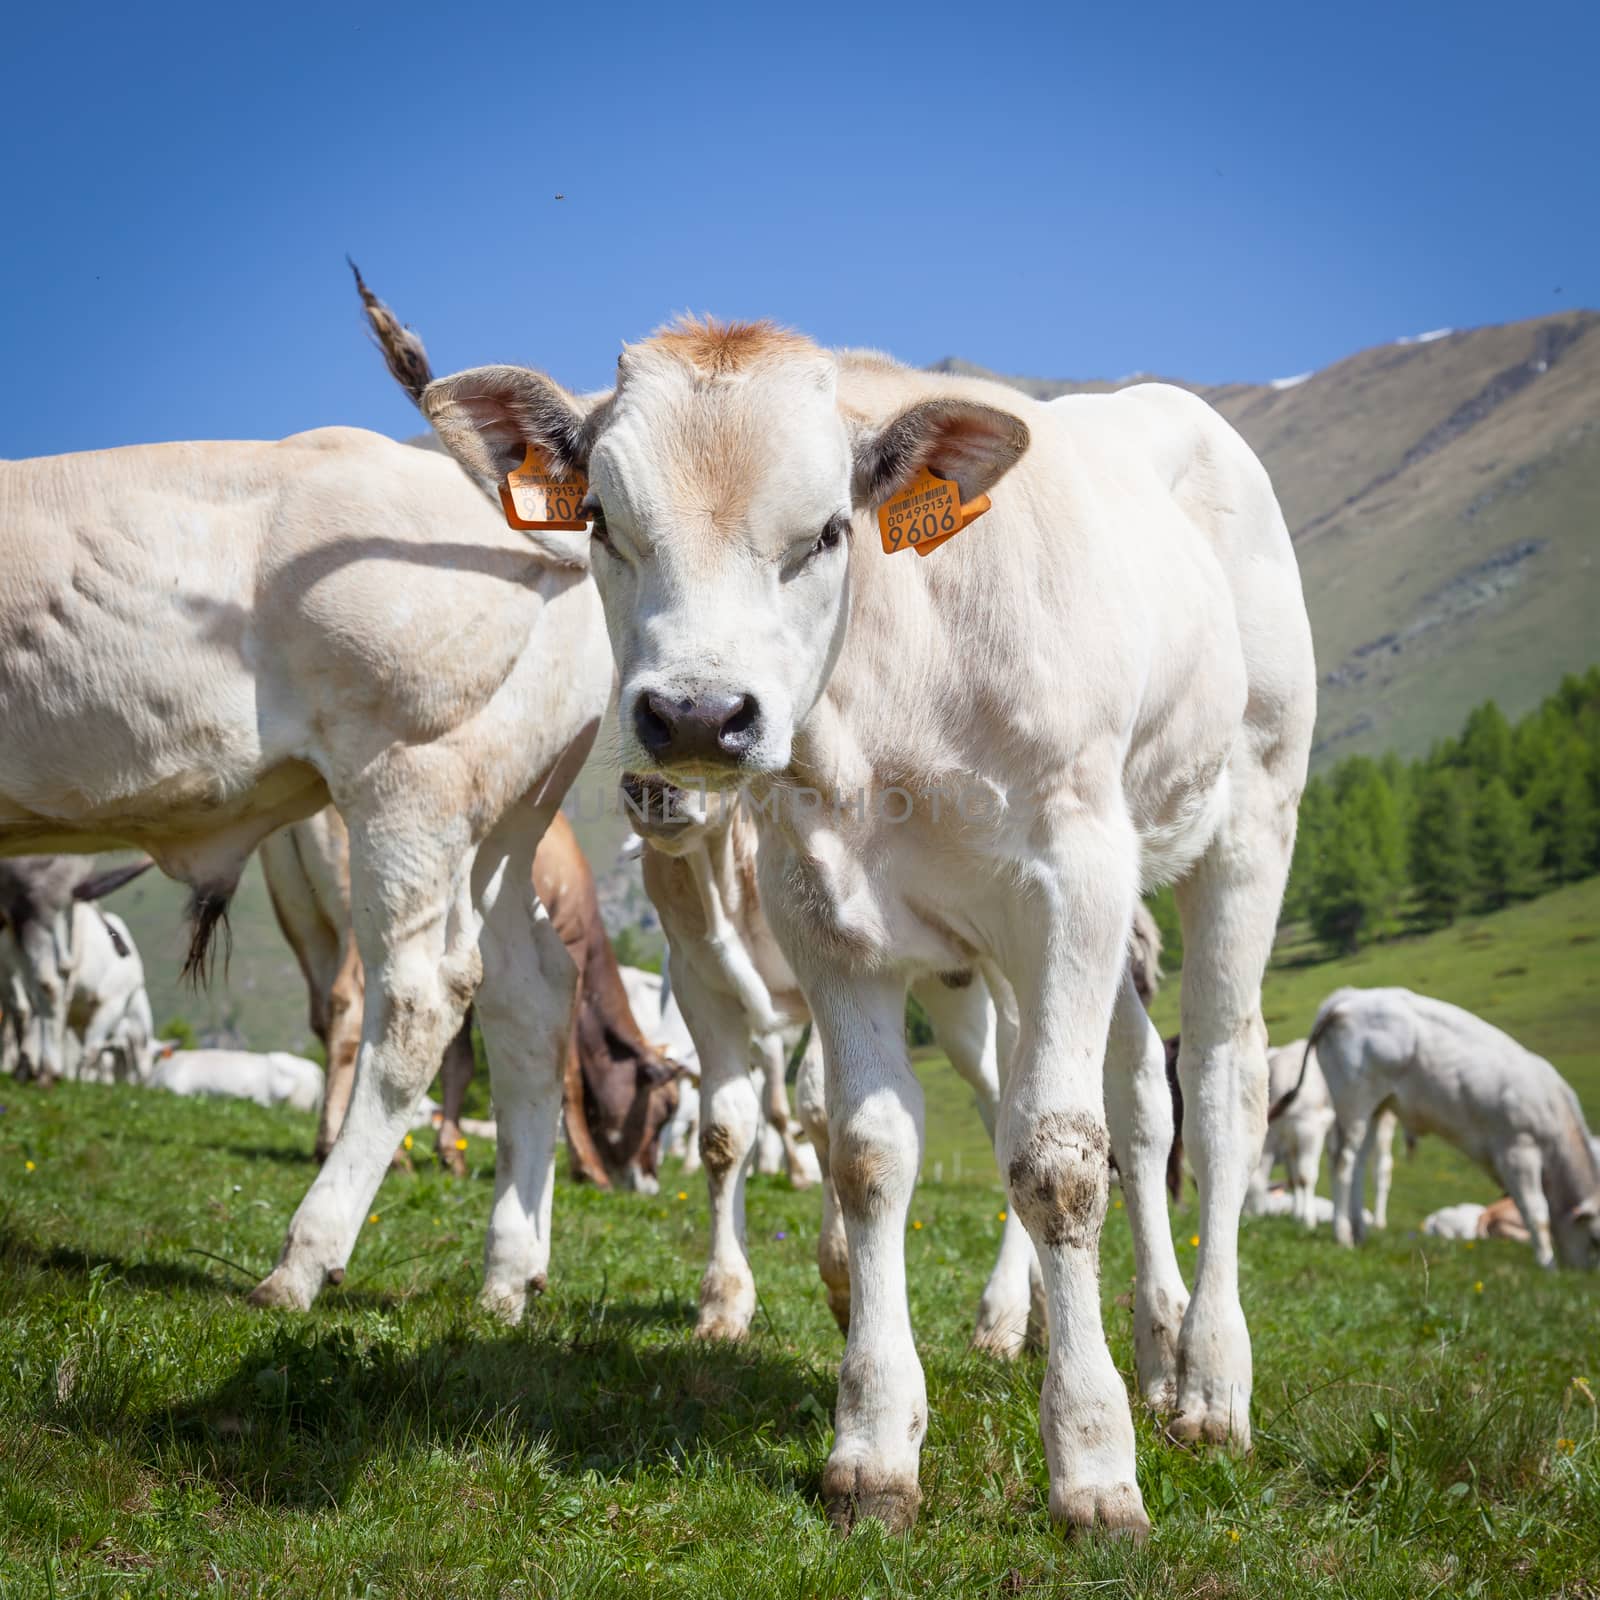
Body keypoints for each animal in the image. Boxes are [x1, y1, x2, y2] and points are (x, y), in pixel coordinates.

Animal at [419, 315, 1318, 1536]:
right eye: (601, 518)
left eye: (829, 530)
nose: (694, 715)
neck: (894, 707)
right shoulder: (829, 918)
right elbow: (868, 1155)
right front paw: (875, 1444)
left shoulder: (1071, 880)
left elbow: (1055, 1162)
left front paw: (1092, 1463)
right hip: (1028, 945)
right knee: (1136, 1091)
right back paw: (1155, 1339)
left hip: (1245, 821)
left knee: (1221, 1081)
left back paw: (1212, 1386)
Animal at [1254, 1043, 1395, 1228]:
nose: (1250, 1216)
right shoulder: (1290, 1140)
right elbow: (1294, 1178)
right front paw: (1296, 1214)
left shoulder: (1310, 1128)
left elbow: (1306, 1176)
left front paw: (1308, 1220)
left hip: (1383, 1119)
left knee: (1382, 1166)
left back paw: (1378, 1221)